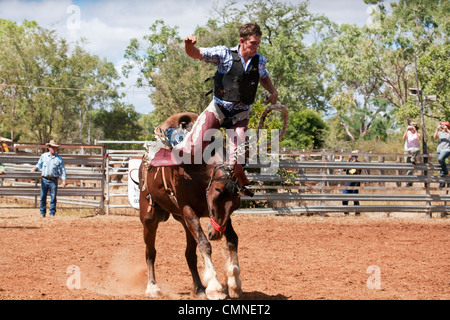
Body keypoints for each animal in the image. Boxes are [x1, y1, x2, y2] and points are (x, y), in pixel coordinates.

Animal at [140, 158, 243, 300]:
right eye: (216, 200)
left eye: (234, 207)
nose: (216, 234)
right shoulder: (188, 210)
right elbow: (205, 244)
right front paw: (214, 288)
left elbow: (233, 239)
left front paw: (234, 283)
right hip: (149, 220)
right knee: (150, 253)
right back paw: (152, 287)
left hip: (186, 224)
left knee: (190, 255)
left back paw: (199, 288)